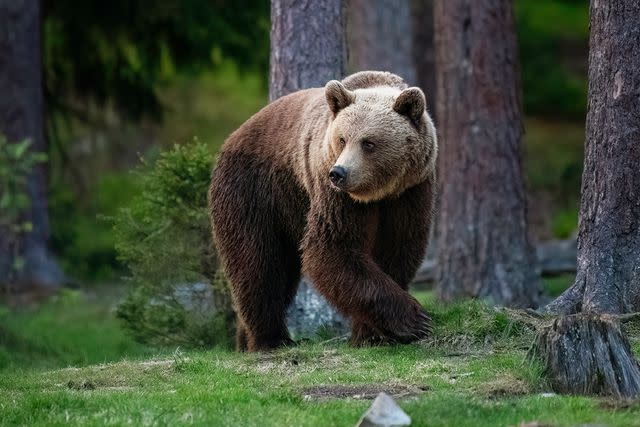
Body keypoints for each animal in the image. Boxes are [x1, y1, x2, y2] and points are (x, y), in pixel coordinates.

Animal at [208, 71, 438, 352]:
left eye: (369, 143)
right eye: (342, 139)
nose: (339, 173)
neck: (377, 194)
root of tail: (233, 136)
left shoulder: (410, 192)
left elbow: (398, 247)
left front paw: (371, 333)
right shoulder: (333, 193)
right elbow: (333, 248)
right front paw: (415, 321)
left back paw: (245, 341)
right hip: (254, 190)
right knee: (257, 264)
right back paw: (271, 339)